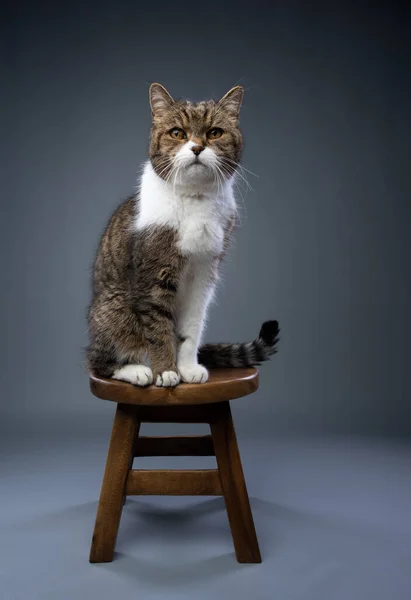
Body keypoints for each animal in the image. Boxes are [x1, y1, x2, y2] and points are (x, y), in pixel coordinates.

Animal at [87, 82, 280, 386]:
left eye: (215, 132)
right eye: (177, 133)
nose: (197, 147)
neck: (194, 199)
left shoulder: (204, 273)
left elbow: (191, 327)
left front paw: (187, 368)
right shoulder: (154, 275)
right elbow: (158, 327)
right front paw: (166, 371)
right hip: (114, 309)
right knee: (99, 361)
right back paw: (138, 370)